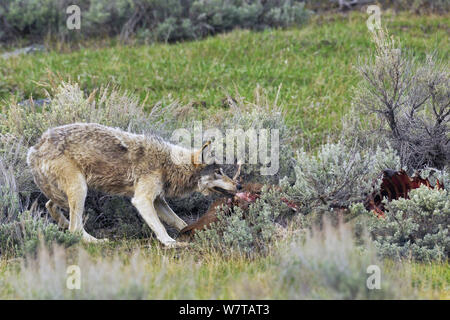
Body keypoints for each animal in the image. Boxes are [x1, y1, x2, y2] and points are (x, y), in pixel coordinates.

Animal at [26, 123, 241, 248]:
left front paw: (192, 232)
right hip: (80, 189)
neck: (168, 164)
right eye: (218, 172)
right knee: (75, 228)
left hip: (67, 193)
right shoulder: (142, 200)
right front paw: (171, 243)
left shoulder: (158, 200)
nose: (238, 186)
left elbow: (178, 221)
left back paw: (65, 226)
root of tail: (35, 147)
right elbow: (160, 227)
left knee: (52, 207)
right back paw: (96, 242)